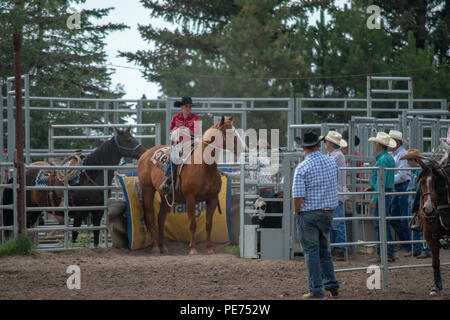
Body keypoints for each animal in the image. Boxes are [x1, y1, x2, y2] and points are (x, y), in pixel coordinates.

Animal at [137, 115, 244, 255]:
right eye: (228, 132)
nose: (243, 148)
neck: (204, 168)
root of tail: (145, 154)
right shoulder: (190, 198)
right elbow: (192, 223)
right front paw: (193, 248)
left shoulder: (213, 199)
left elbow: (208, 224)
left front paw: (209, 248)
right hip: (147, 189)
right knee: (150, 216)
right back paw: (155, 247)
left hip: (166, 196)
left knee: (161, 218)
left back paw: (163, 247)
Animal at [414, 159, 450, 296]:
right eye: (421, 182)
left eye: (436, 183)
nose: (428, 210)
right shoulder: (429, 237)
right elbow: (435, 262)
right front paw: (436, 287)